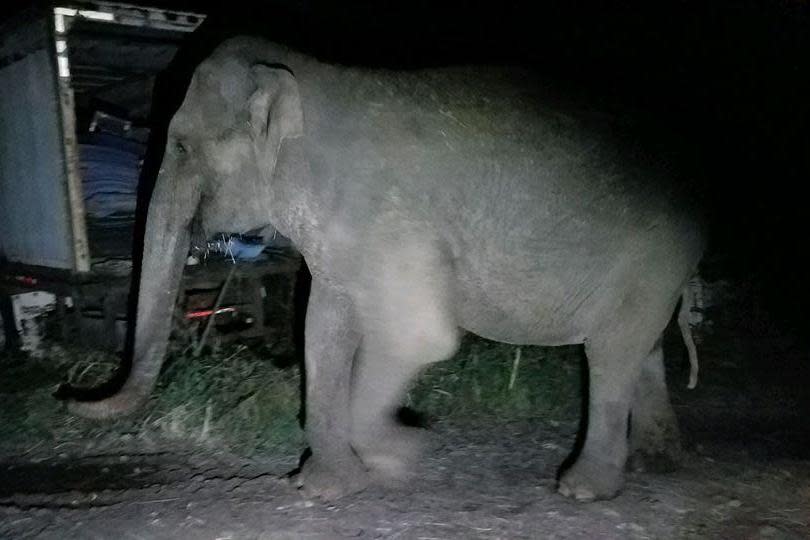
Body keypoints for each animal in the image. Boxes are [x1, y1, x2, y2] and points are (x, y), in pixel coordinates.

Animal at [66, 37, 704, 502]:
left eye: (179, 147)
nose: (72, 396)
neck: (305, 81)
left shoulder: (389, 220)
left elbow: (421, 336)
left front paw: (407, 447)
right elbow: (321, 328)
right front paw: (324, 485)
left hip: (651, 257)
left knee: (611, 353)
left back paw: (582, 490)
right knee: (640, 348)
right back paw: (657, 462)